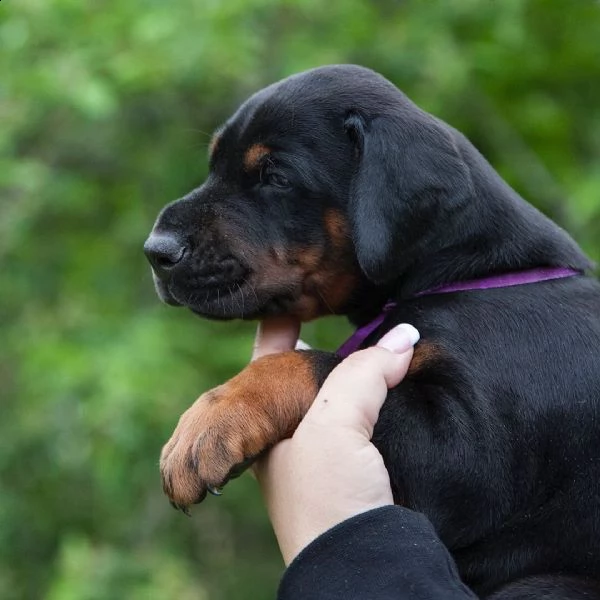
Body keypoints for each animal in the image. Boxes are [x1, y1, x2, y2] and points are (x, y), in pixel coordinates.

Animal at [144, 63, 600, 596]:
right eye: (214, 166)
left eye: (276, 177)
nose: (156, 251)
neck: (473, 275)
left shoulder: (467, 461)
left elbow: (322, 364)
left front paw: (209, 420)